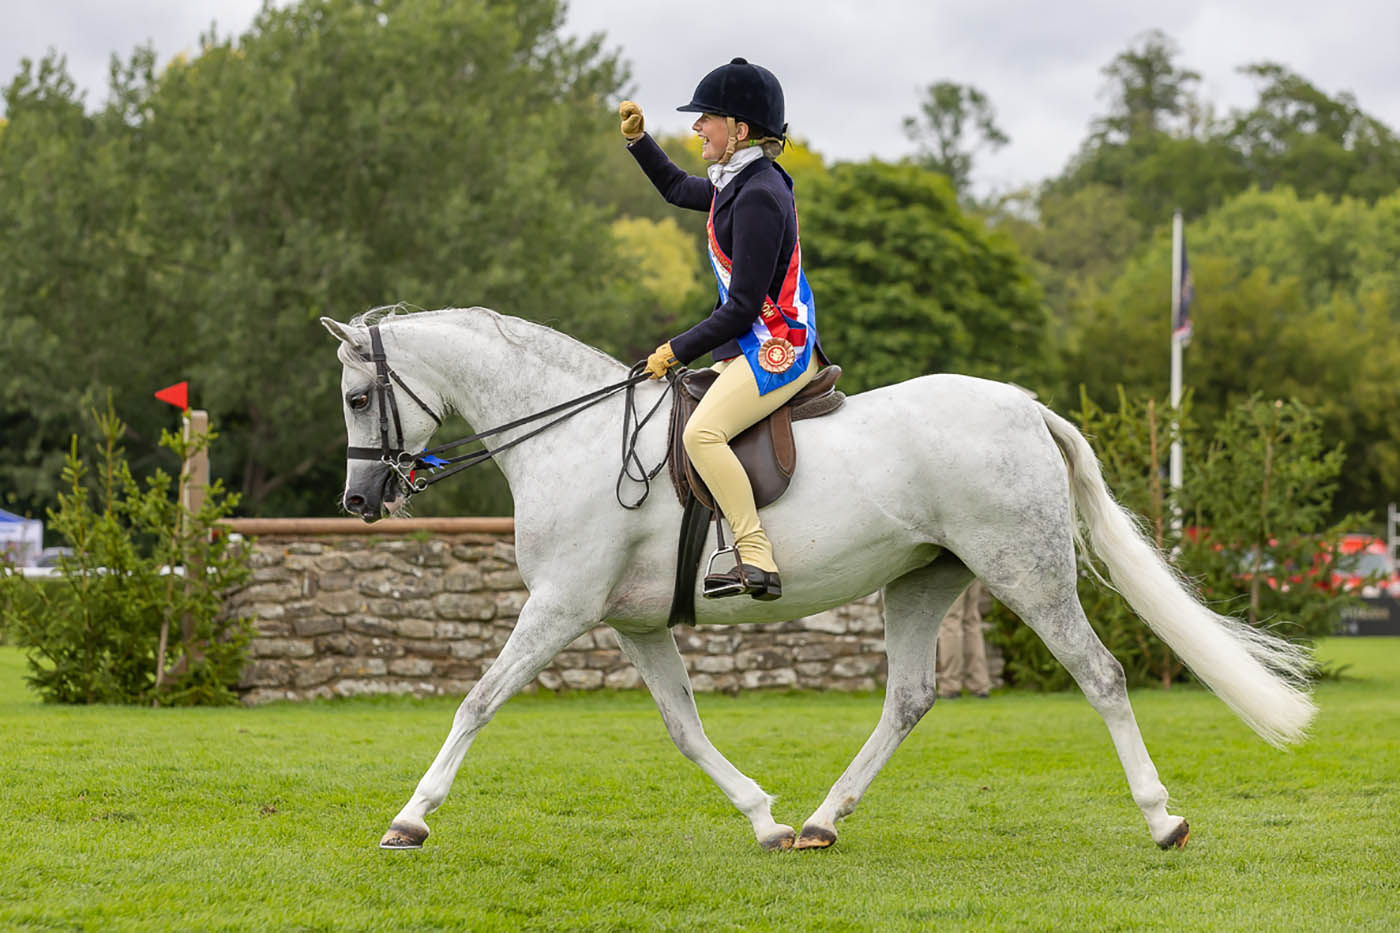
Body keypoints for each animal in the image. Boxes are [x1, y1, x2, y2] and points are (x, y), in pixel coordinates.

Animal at [320, 306, 1315, 853]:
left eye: (360, 396)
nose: (359, 498)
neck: (573, 434)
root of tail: (1025, 406)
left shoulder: (560, 607)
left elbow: (477, 700)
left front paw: (411, 817)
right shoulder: (632, 625)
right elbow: (684, 729)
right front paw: (762, 818)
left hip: (1025, 571)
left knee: (1101, 676)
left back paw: (1162, 818)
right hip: (922, 581)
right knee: (909, 698)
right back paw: (821, 820)